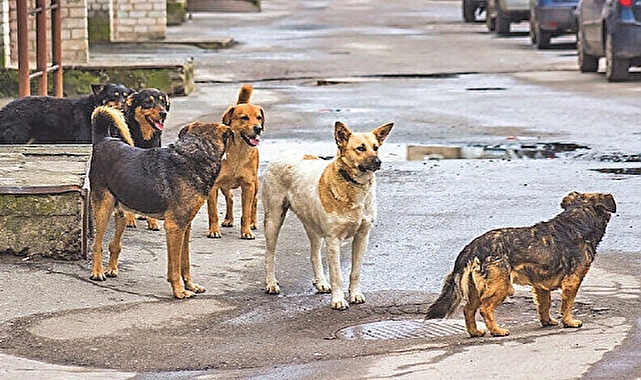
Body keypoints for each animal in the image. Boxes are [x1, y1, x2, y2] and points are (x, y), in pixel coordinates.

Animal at [0, 84, 132, 145]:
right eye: (114, 96)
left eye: (126, 96)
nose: (124, 103)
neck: (94, 107)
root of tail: (4, 111)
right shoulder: (84, 139)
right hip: (19, 137)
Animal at [89, 105, 231, 298]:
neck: (195, 154)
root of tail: (103, 139)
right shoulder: (174, 227)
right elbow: (174, 266)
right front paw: (179, 291)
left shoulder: (185, 227)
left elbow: (185, 263)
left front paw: (190, 285)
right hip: (103, 209)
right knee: (97, 245)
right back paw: (97, 272)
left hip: (122, 212)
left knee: (114, 244)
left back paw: (111, 269)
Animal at [206, 84, 264, 239]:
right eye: (244, 118)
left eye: (259, 118)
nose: (258, 128)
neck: (238, 152)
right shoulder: (213, 186)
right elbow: (213, 212)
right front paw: (213, 230)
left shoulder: (248, 186)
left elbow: (246, 212)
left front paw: (246, 231)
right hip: (224, 185)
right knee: (230, 198)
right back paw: (228, 219)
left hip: (255, 184)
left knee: (254, 202)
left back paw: (252, 223)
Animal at [262, 121, 392, 308]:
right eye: (360, 148)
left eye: (376, 148)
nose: (378, 162)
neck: (352, 185)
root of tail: (283, 152)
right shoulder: (333, 240)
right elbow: (337, 275)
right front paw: (338, 300)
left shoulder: (362, 237)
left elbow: (355, 272)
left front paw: (355, 294)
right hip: (273, 219)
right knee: (269, 254)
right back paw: (271, 283)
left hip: (312, 226)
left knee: (314, 255)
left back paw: (321, 282)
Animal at [424, 191, 616, 336]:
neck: (577, 221)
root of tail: (472, 247)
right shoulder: (573, 281)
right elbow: (567, 305)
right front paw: (569, 322)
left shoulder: (540, 285)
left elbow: (544, 305)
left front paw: (547, 321)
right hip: (501, 286)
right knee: (485, 309)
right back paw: (497, 331)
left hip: (477, 289)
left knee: (468, 310)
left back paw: (475, 332)